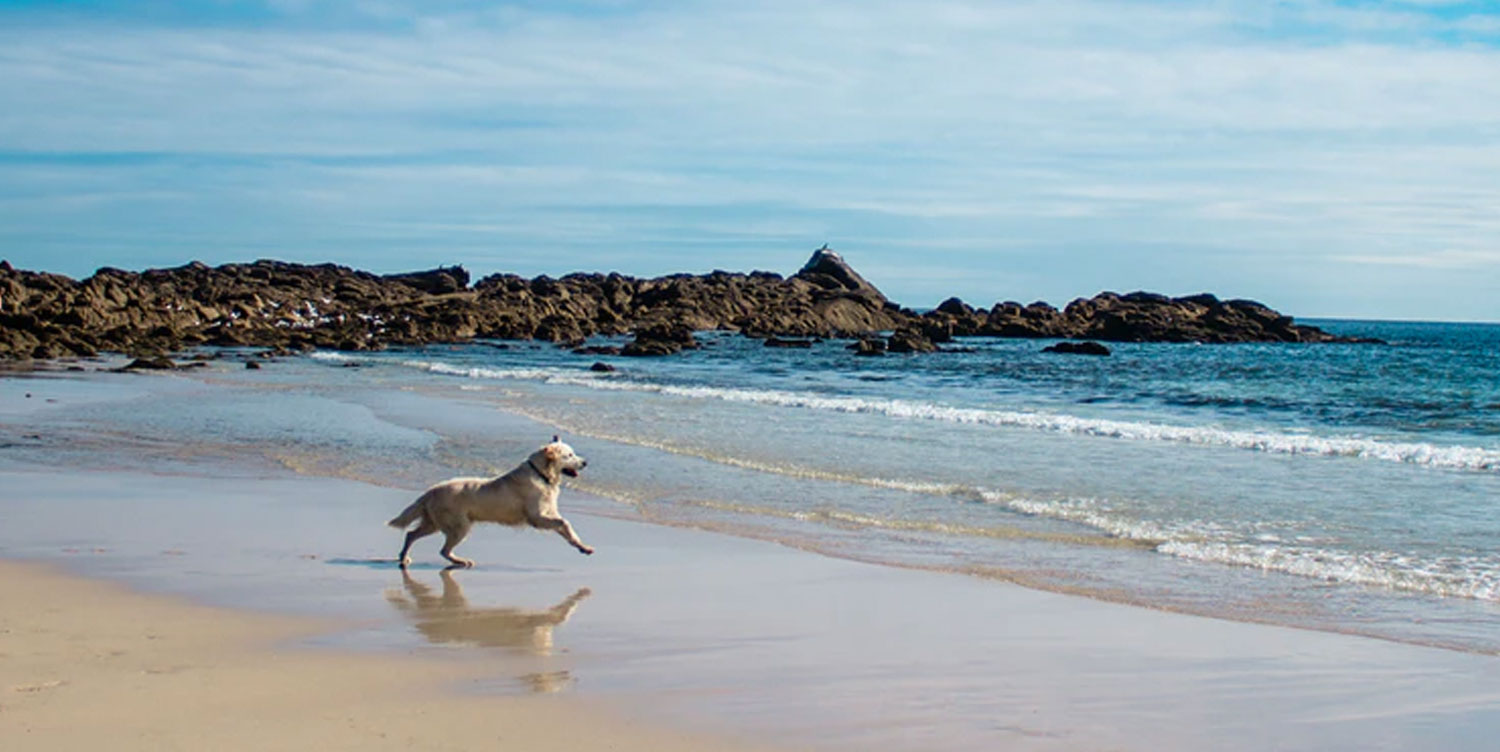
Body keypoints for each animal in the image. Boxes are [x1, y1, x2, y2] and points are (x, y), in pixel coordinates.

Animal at [387, 438, 591, 564]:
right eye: (569, 455)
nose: (585, 462)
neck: (540, 473)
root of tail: (430, 491)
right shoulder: (536, 517)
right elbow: (564, 522)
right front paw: (582, 546)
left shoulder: (548, 513)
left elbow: (566, 529)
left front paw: (582, 547)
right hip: (459, 526)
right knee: (443, 550)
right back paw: (461, 561)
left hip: (434, 523)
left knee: (411, 534)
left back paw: (404, 557)